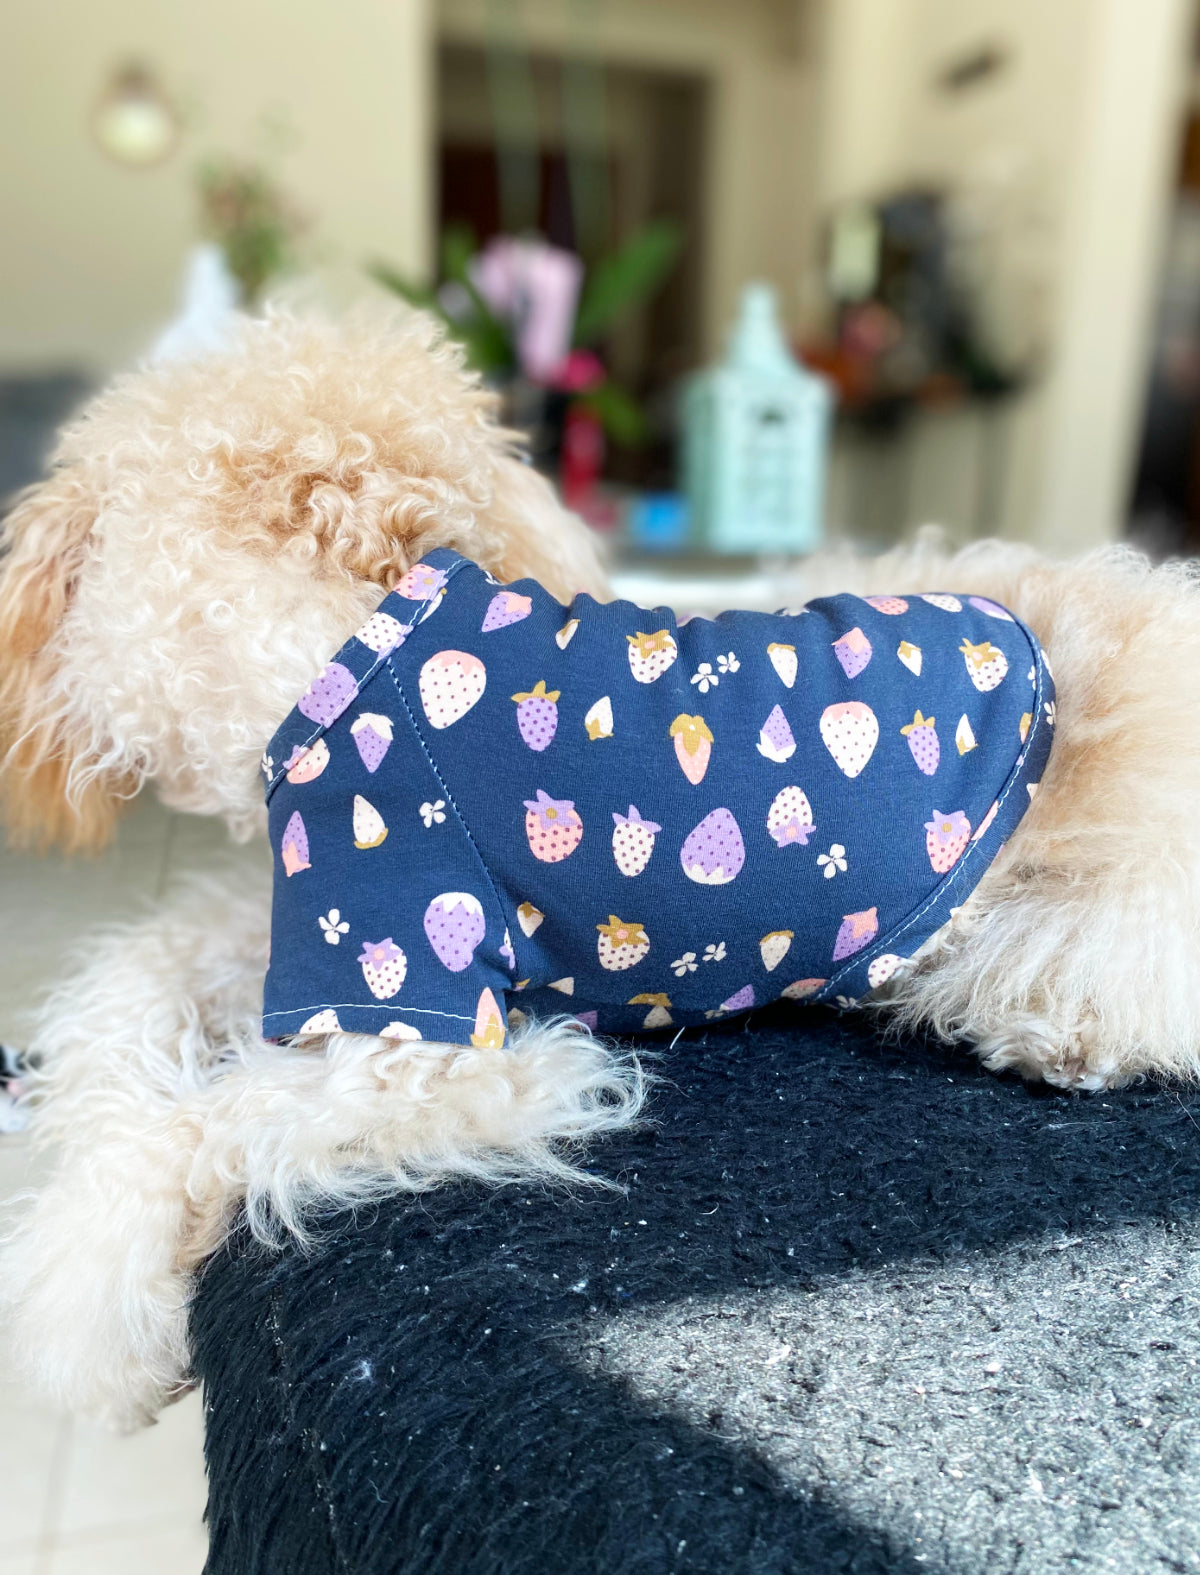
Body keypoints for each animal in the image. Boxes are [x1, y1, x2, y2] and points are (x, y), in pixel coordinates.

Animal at [2, 303, 1196, 1430]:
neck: (337, 655)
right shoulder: (322, 930)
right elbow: (126, 996)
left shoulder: (441, 1032)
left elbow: (201, 1124)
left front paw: (89, 1316)